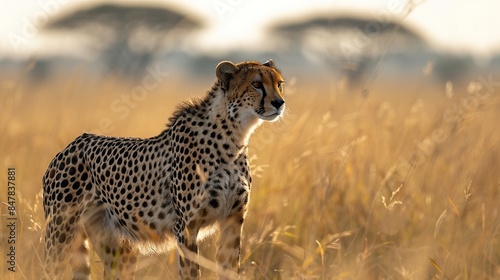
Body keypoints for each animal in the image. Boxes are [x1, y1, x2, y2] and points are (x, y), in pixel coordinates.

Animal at [43, 60, 286, 278]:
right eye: (256, 84)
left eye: (279, 84)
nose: (279, 102)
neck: (234, 137)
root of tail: (70, 145)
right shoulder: (187, 228)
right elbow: (190, 273)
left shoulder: (233, 221)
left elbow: (230, 270)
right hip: (60, 234)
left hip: (118, 246)